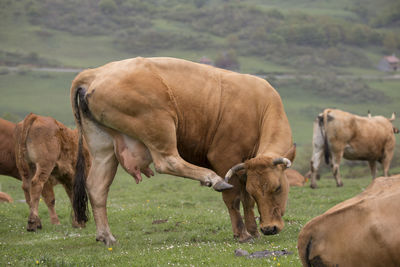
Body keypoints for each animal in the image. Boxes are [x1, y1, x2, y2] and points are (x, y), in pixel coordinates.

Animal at [70, 57, 296, 246]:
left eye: (278, 188)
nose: (269, 228)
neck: (259, 106)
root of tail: (94, 72)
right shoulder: (224, 157)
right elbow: (233, 197)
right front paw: (242, 234)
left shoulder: (245, 168)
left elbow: (246, 199)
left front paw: (253, 231)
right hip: (160, 122)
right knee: (168, 161)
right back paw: (212, 178)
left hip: (104, 150)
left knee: (97, 187)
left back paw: (106, 236)